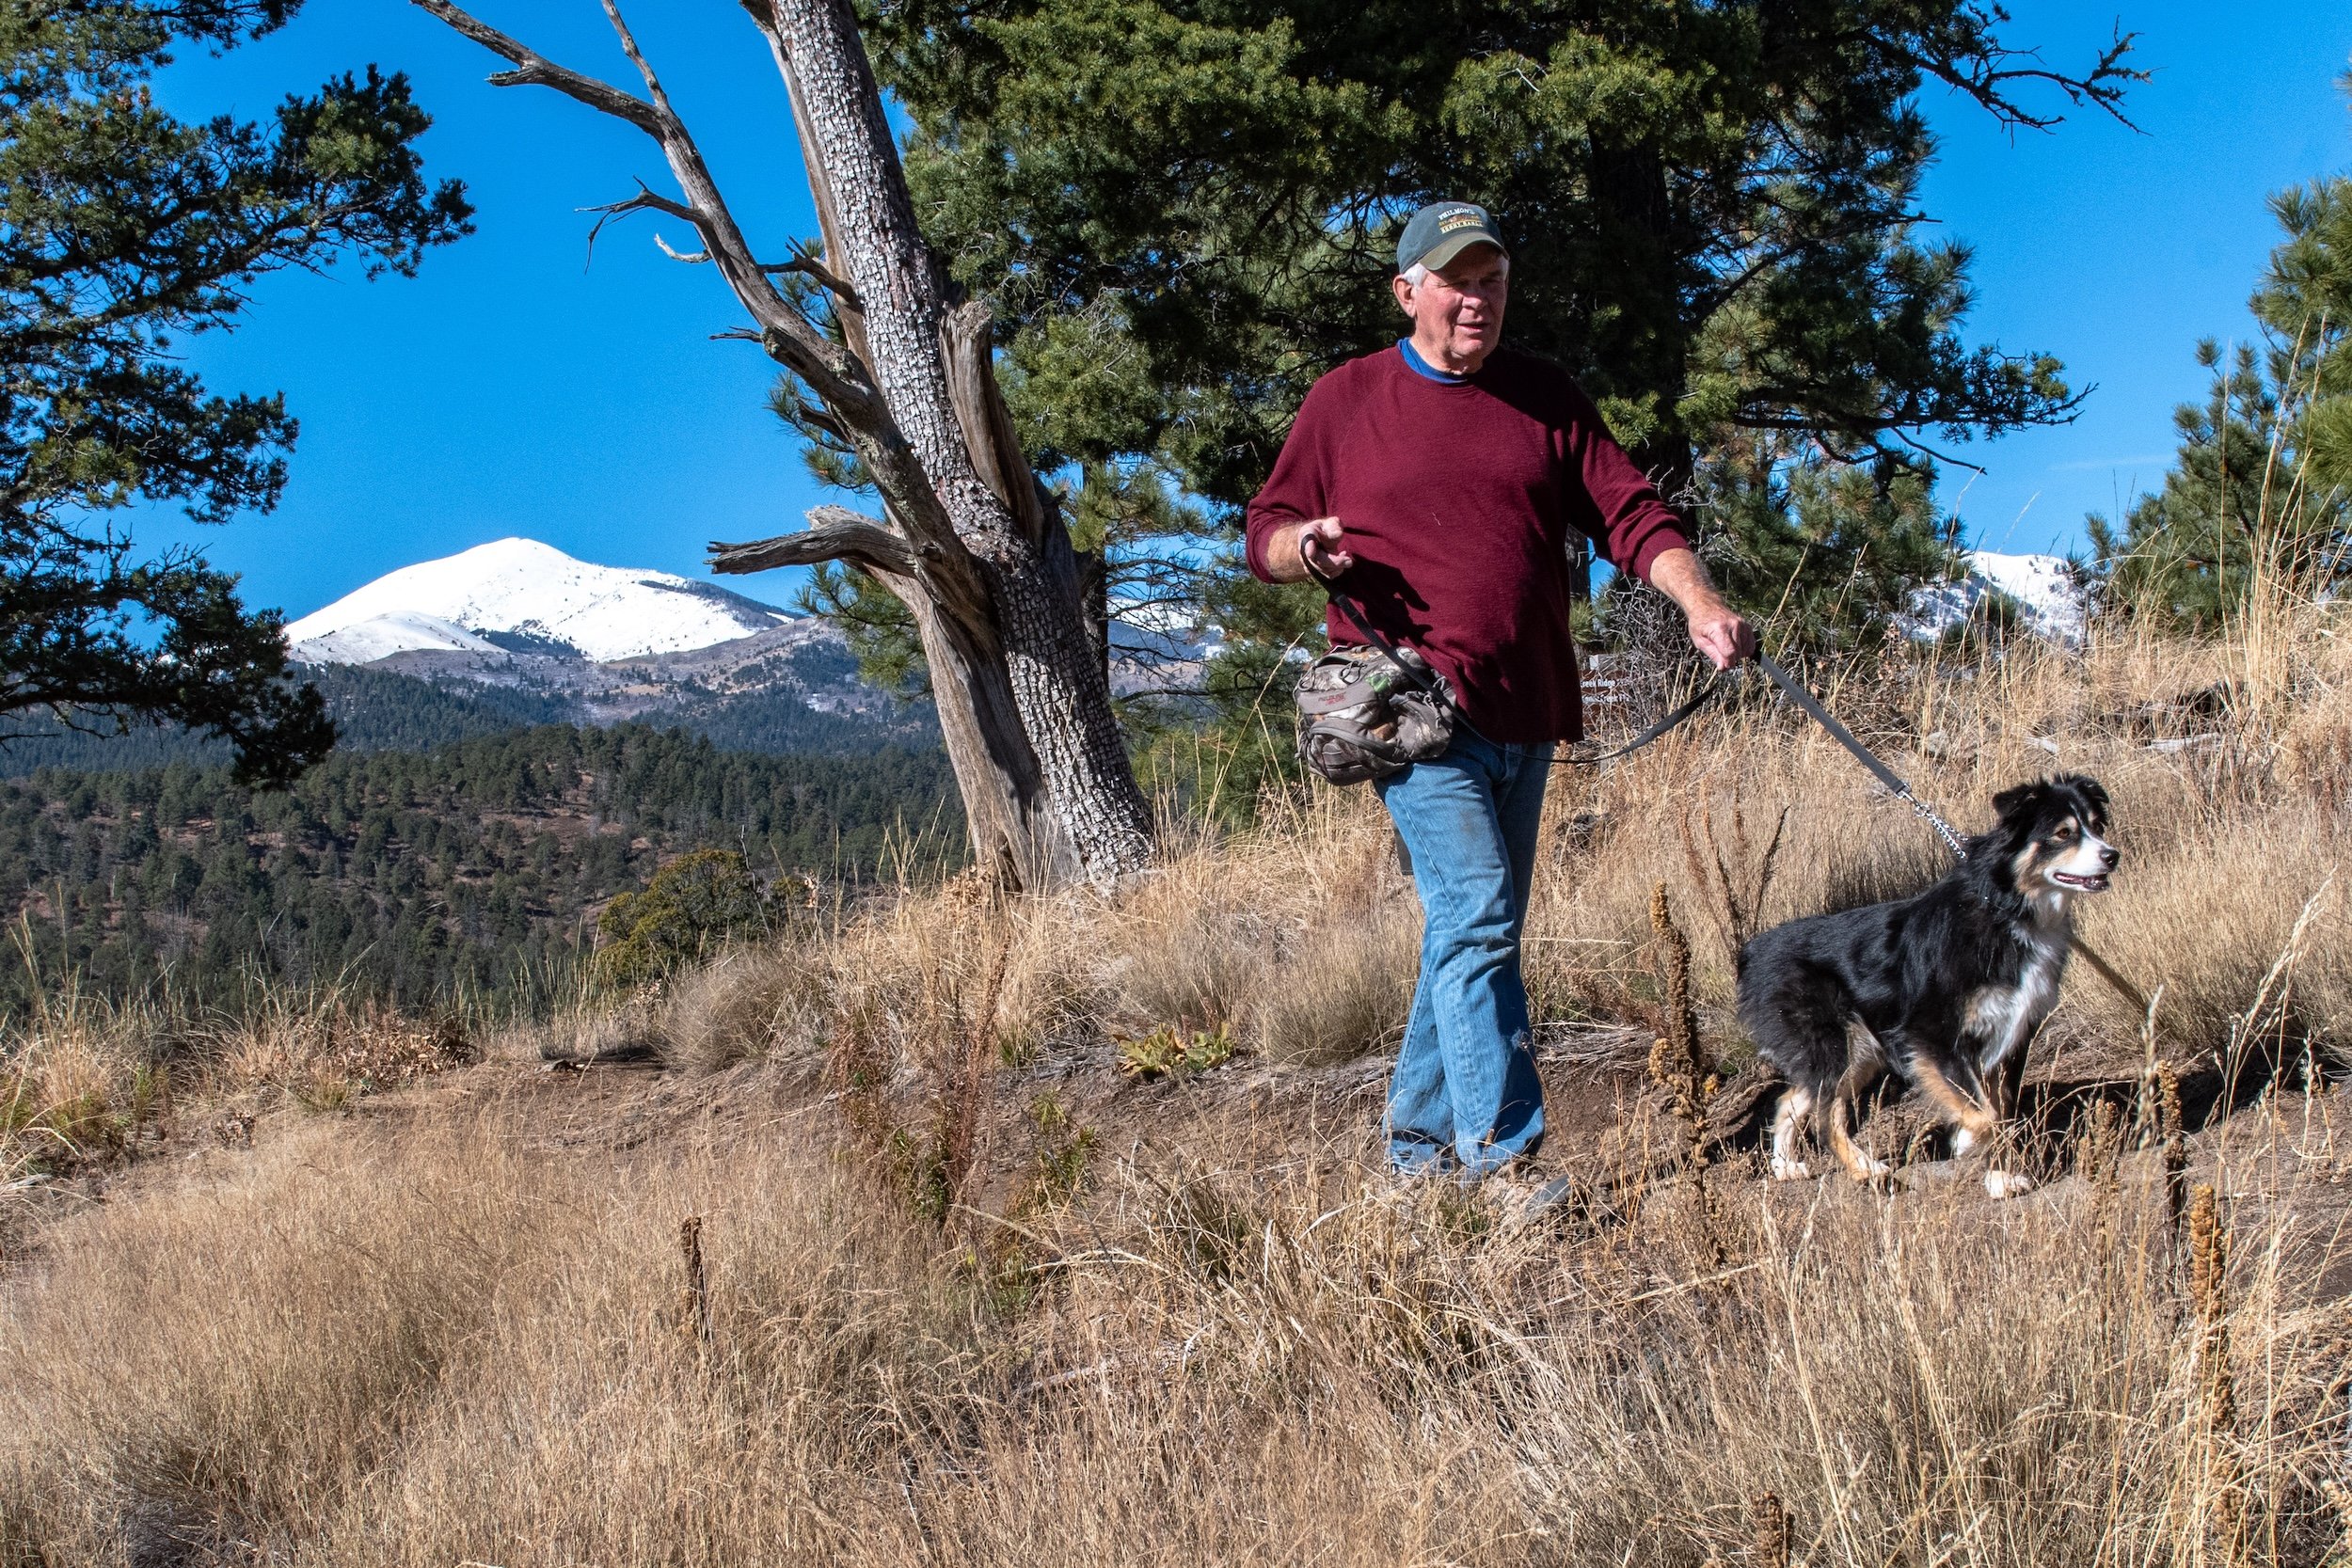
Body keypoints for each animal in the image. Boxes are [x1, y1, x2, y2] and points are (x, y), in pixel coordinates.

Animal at [1740, 775, 2126, 1203]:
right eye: (2063, 833)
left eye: (2097, 826)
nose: (2112, 856)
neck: (2007, 910)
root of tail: (1754, 950)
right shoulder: (1931, 1034)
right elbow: (1985, 1114)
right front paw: (1970, 1142)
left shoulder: (2011, 1036)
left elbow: (2002, 1112)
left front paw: (2001, 1176)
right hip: (1836, 1045)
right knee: (1826, 1118)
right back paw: (1867, 1171)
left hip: (1857, 1051)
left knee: (1788, 1100)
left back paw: (1785, 1166)